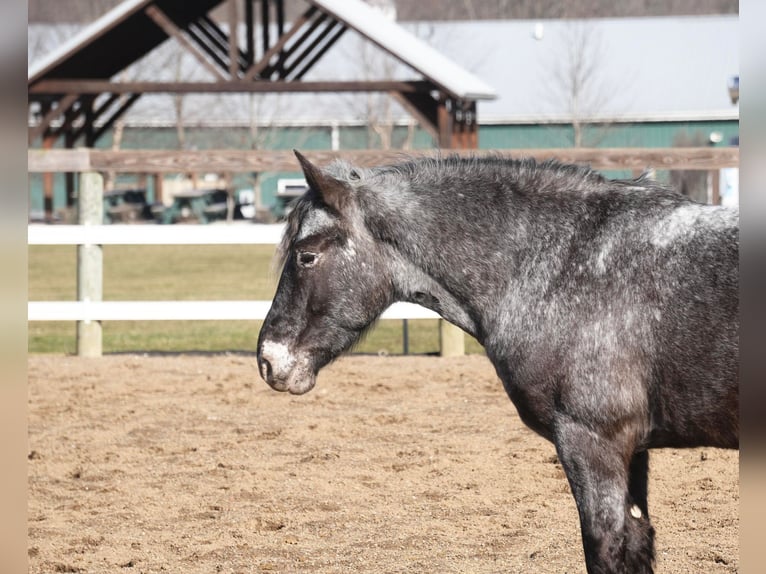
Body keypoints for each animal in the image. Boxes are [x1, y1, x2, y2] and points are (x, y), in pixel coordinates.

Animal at [257, 150, 738, 574]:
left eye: (306, 255)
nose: (268, 359)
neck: (569, 263)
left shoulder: (592, 443)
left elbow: (605, 549)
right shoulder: (632, 452)